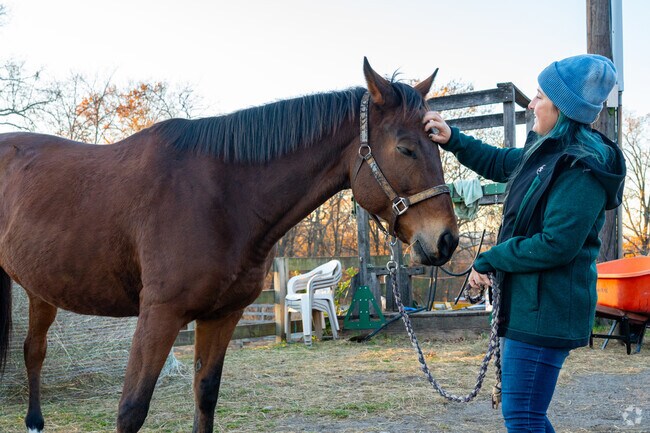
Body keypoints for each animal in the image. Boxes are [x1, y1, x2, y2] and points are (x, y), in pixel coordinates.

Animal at [0, 58, 458, 433]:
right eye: (405, 148)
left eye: (438, 144)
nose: (446, 240)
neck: (220, 195)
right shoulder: (159, 315)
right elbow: (132, 410)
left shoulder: (222, 315)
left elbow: (205, 397)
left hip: (41, 291)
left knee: (34, 351)